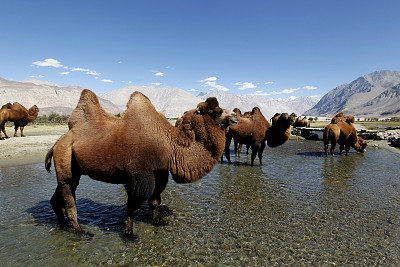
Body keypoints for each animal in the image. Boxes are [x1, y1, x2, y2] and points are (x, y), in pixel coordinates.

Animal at [44, 90, 238, 239]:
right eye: (217, 111)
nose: (236, 116)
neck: (168, 145)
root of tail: (57, 142)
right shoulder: (139, 176)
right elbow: (133, 208)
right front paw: (129, 234)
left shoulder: (159, 173)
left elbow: (155, 201)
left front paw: (156, 223)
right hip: (65, 158)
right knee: (69, 197)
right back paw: (82, 232)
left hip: (73, 168)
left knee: (59, 195)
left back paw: (62, 225)